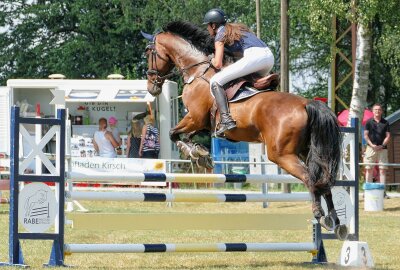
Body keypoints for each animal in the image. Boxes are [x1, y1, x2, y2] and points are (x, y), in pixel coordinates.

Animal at [144, 21, 346, 240]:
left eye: (148, 53)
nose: (151, 87)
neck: (197, 71)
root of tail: (306, 104)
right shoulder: (202, 122)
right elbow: (187, 135)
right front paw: (201, 154)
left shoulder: (195, 117)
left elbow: (173, 133)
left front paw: (193, 152)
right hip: (307, 150)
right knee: (324, 180)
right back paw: (336, 221)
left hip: (281, 154)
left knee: (310, 178)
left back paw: (320, 215)